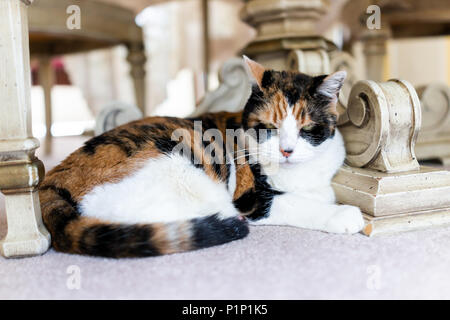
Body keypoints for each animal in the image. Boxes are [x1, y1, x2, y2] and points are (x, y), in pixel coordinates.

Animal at [39, 57, 366, 258]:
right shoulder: (250, 196)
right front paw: (344, 214)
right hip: (182, 166)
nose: (286, 150)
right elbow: (295, 203)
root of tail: (51, 182)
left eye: (306, 128)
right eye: (269, 128)